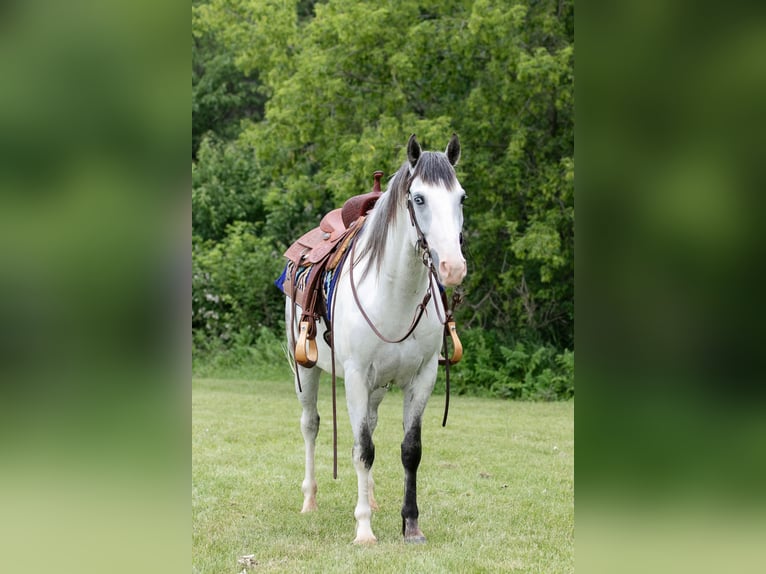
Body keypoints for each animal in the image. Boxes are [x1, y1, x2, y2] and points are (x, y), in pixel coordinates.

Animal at [286, 134, 468, 544]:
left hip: (378, 387)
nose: (452, 267)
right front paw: (364, 529)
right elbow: (362, 450)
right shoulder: (354, 376)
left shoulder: (422, 377)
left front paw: (411, 525)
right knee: (311, 425)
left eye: (461, 198)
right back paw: (309, 500)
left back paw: (371, 497)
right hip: (305, 371)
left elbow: (409, 450)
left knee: (368, 425)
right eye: (419, 198)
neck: (394, 294)